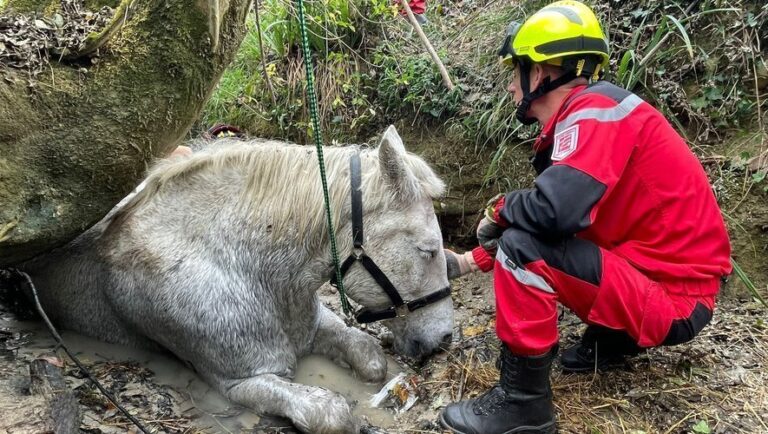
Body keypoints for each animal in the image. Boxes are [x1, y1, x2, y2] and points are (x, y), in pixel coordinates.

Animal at [19, 125, 454, 434]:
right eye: (428, 250)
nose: (445, 338)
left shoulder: (314, 325)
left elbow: (368, 354)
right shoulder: (242, 382)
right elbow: (331, 413)